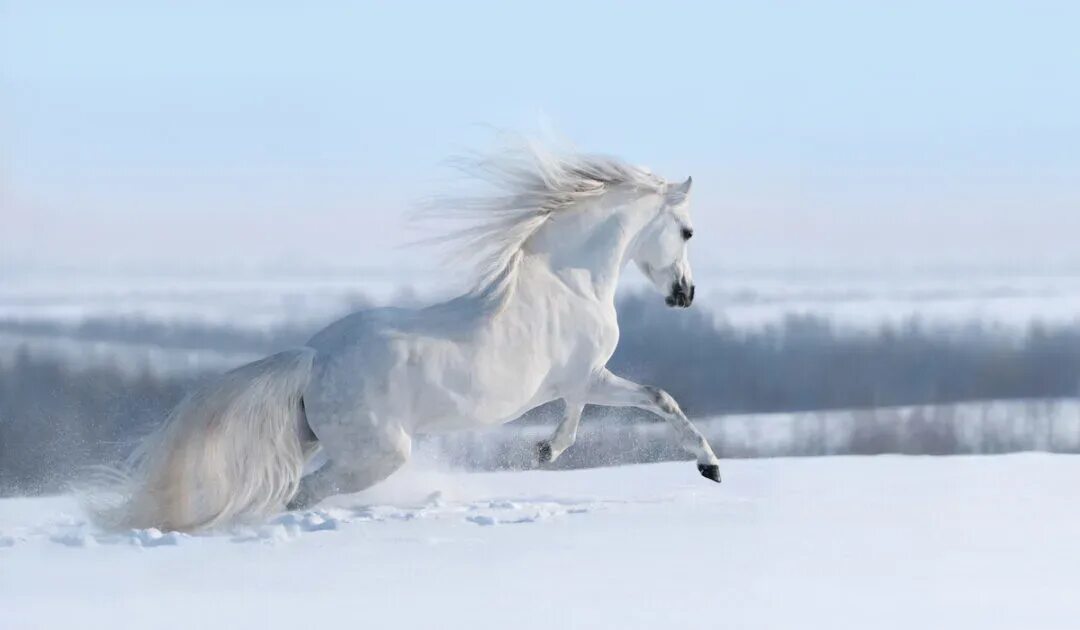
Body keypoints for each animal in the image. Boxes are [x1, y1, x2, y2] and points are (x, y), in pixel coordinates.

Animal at [90, 139, 717, 531]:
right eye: (687, 231)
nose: (685, 294)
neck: (570, 279)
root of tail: (313, 358)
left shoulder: (579, 381)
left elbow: (602, 410)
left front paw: (545, 449)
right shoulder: (587, 375)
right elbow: (656, 399)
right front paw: (708, 465)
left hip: (317, 441)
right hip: (378, 456)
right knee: (300, 495)